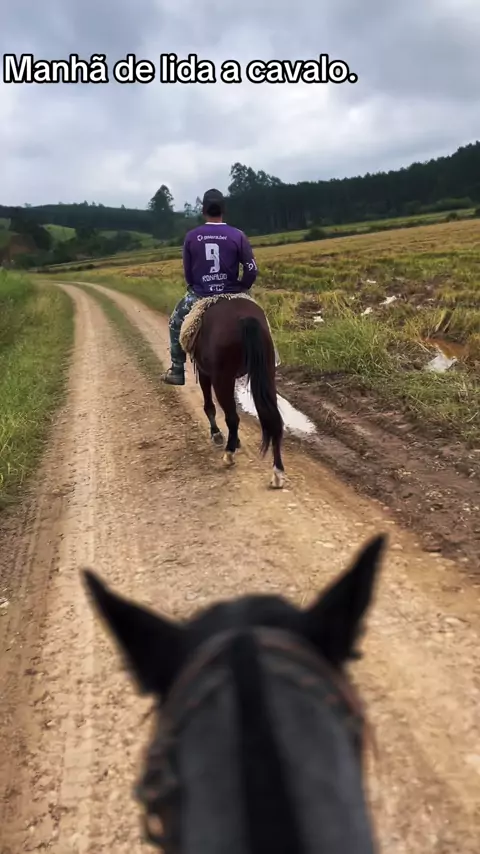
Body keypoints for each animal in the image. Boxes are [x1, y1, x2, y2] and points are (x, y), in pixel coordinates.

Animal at [182, 295, 285, 489]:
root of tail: (244, 318)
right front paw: (234, 439)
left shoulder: (205, 373)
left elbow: (209, 407)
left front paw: (217, 435)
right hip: (267, 373)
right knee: (274, 420)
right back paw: (278, 473)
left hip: (222, 379)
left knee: (232, 418)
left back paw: (229, 455)